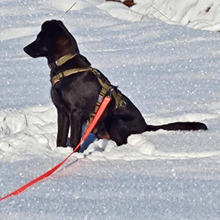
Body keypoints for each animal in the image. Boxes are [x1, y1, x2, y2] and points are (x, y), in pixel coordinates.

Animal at [23, 19, 206, 150]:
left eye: (39, 38)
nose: (24, 48)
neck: (65, 67)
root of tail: (145, 126)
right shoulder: (62, 111)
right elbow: (60, 137)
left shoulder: (75, 112)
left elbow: (75, 139)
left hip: (115, 121)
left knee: (123, 142)